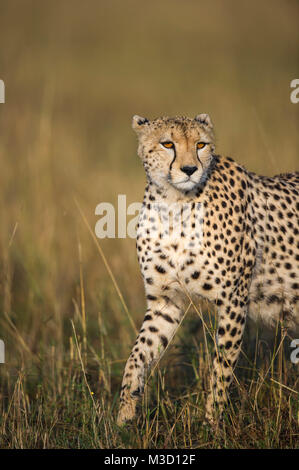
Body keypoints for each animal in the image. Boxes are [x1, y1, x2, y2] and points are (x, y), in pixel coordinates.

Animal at [118, 114, 299, 426]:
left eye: (201, 144)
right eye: (168, 144)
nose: (190, 169)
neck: (174, 204)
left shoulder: (233, 301)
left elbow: (221, 368)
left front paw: (212, 425)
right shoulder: (166, 300)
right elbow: (137, 356)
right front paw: (123, 417)